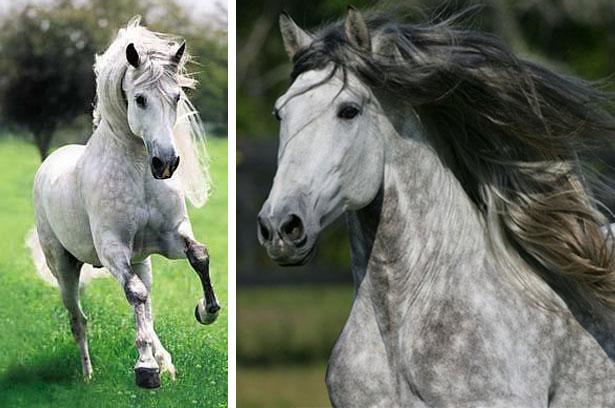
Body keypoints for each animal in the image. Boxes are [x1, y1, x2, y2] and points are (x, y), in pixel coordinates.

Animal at [29, 17, 221, 388]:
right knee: (79, 319)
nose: (166, 163)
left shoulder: (170, 238)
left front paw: (205, 311)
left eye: (177, 96)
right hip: (65, 268)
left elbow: (199, 257)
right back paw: (89, 374)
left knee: (146, 304)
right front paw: (145, 369)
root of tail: (49, 162)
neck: (138, 173)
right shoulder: (112, 248)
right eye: (140, 99)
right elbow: (134, 295)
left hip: (142, 262)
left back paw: (166, 364)